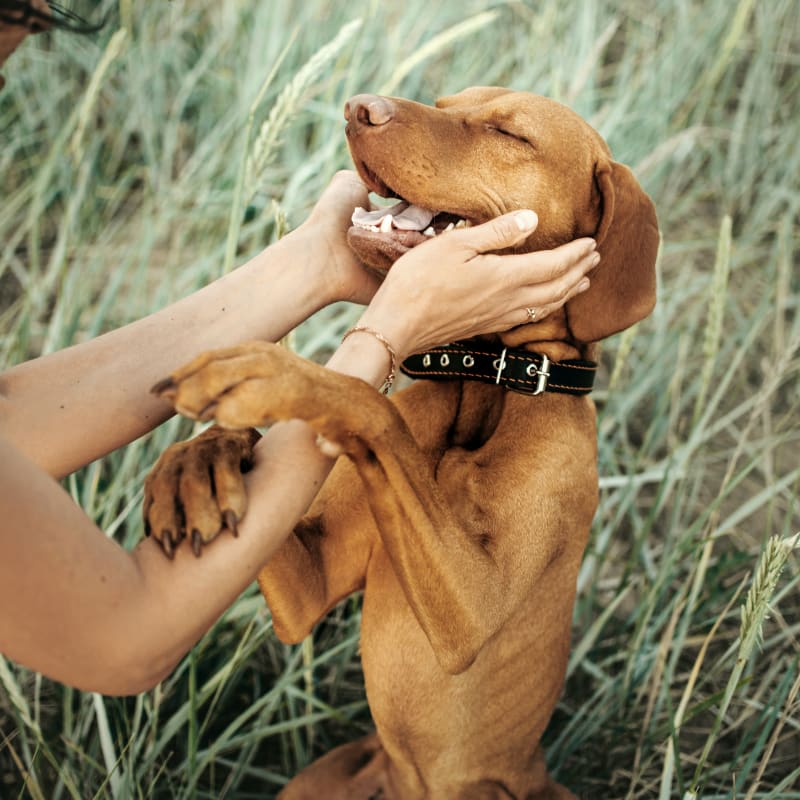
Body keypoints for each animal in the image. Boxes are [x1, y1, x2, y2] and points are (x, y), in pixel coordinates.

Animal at [147, 84, 660, 796]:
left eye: (509, 133)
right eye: (446, 101)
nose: (358, 107)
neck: (487, 377)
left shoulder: (474, 609)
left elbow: (367, 403)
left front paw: (272, 372)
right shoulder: (309, 585)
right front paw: (198, 463)